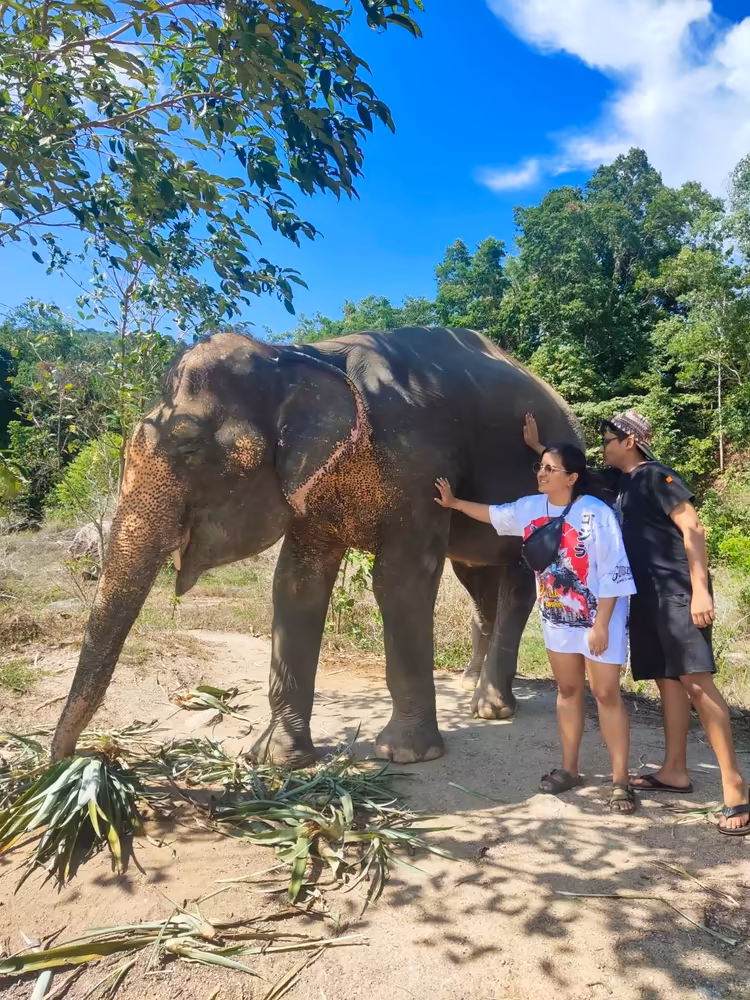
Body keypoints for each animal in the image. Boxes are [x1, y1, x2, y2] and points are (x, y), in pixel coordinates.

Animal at [50, 326, 582, 767]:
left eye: (191, 450)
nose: (71, 761)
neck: (297, 355)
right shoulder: (310, 488)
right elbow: (296, 584)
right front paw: (276, 758)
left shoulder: (420, 466)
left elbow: (400, 582)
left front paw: (403, 754)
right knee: (474, 578)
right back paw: (470, 685)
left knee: (517, 583)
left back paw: (491, 707)